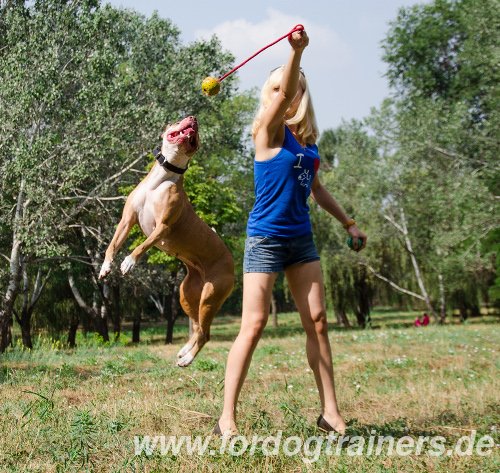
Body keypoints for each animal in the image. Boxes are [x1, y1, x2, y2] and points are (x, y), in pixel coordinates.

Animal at [99, 116, 236, 366]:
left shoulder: (162, 227)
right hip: (187, 295)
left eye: (197, 136)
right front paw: (106, 267)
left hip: (210, 296)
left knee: (205, 333)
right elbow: (112, 245)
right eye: (178, 120)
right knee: (198, 327)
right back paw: (184, 351)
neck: (161, 178)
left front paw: (128, 262)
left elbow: (141, 245)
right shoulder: (127, 220)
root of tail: (231, 261)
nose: (194, 119)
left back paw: (188, 359)